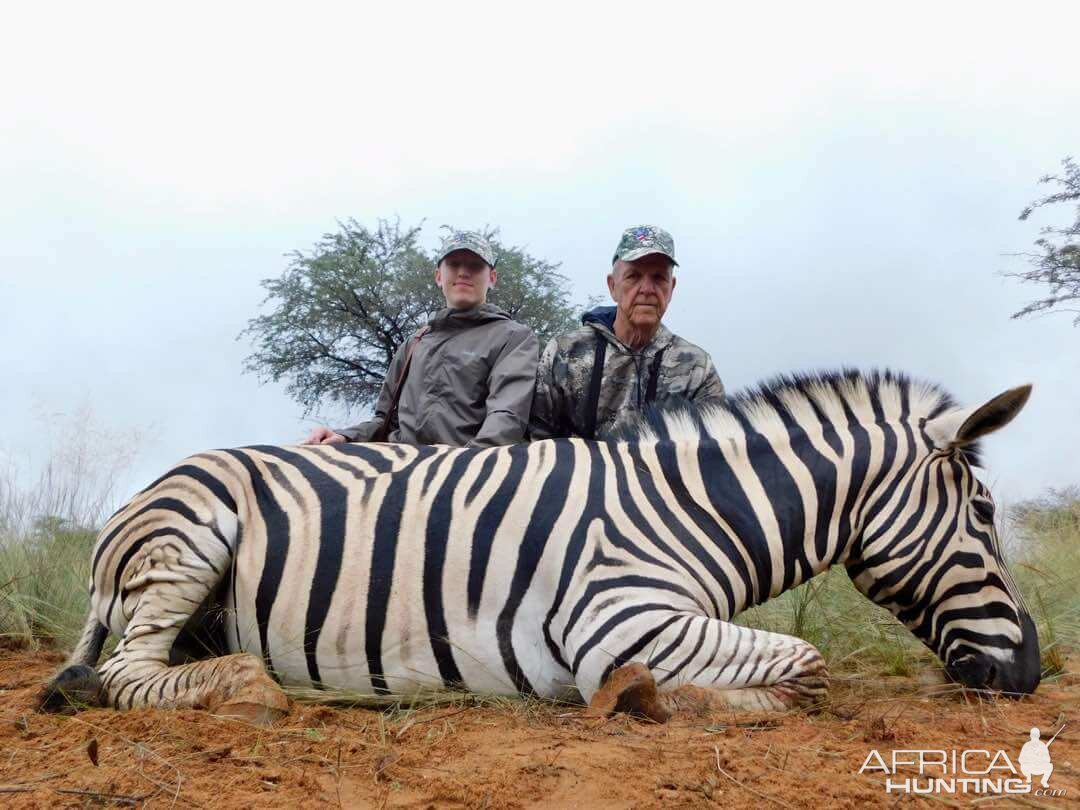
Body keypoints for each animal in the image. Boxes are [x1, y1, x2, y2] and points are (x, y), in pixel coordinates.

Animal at [39, 371, 1036, 725]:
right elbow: (807, 665)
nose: (1030, 671)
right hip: (191, 541)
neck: (694, 509)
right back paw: (258, 688)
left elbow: (803, 665)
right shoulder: (620, 618)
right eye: (986, 513)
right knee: (124, 671)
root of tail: (143, 495)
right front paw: (655, 699)